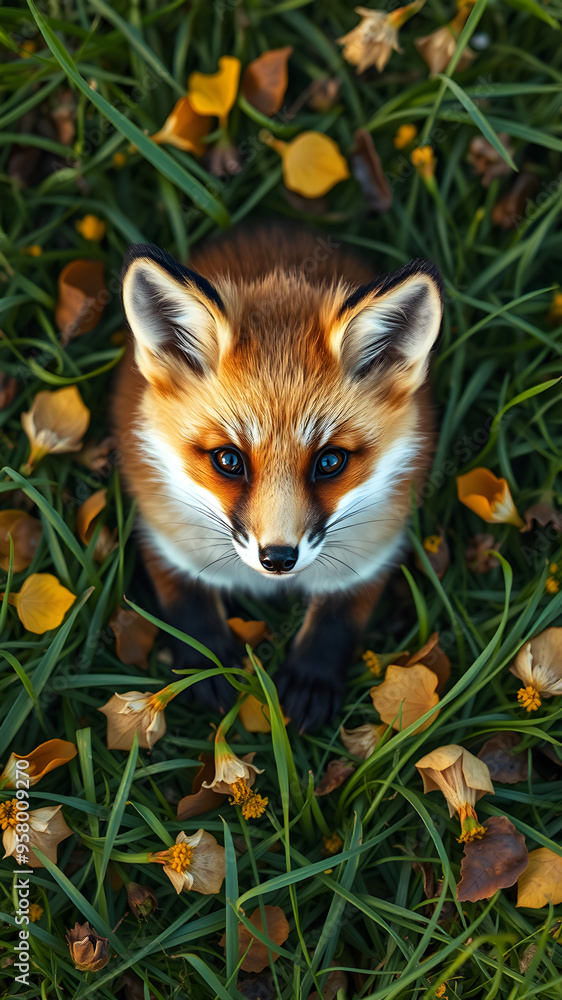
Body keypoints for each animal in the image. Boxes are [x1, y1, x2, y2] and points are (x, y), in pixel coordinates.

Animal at [114, 224, 444, 731]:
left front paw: (311, 679)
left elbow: (337, 619)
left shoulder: (375, 544)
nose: (278, 559)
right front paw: (207, 665)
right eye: (229, 460)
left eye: (329, 462)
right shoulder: (166, 532)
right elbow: (187, 605)